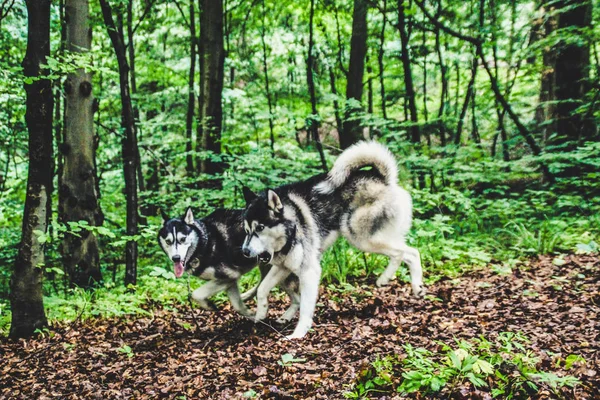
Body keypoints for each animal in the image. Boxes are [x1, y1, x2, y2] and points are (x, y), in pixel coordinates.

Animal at [159, 206, 300, 318]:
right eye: (168, 241)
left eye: (182, 239)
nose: (176, 258)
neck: (204, 243)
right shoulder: (230, 281)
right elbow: (237, 306)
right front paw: (251, 315)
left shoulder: (229, 276)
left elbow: (196, 294)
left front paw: (208, 305)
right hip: (265, 264)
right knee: (262, 283)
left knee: (297, 298)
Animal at [241, 141, 424, 338]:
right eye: (246, 230)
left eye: (260, 228)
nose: (245, 251)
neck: (289, 231)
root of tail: (382, 178)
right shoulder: (283, 267)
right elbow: (262, 289)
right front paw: (261, 312)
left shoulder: (309, 272)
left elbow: (305, 308)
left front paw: (298, 334)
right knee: (407, 253)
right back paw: (409, 285)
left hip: (360, 236)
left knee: (406, 253)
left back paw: (392, 279)